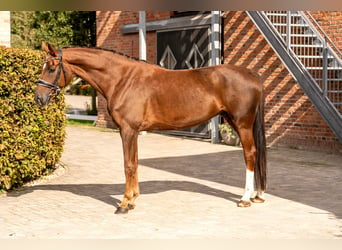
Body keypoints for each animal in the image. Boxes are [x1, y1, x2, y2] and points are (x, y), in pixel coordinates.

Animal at [35, 42, 268, 214]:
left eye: (52, 68)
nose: (39, 98)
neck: (122, 79)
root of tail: (252, 74)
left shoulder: (128, 130)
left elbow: (128, 165)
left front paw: (124, 204)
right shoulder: (134, 132)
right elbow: (136, 163)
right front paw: (132, 199)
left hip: (242, 123)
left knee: (250, 154)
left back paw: (245, 198)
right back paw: (256, 195)